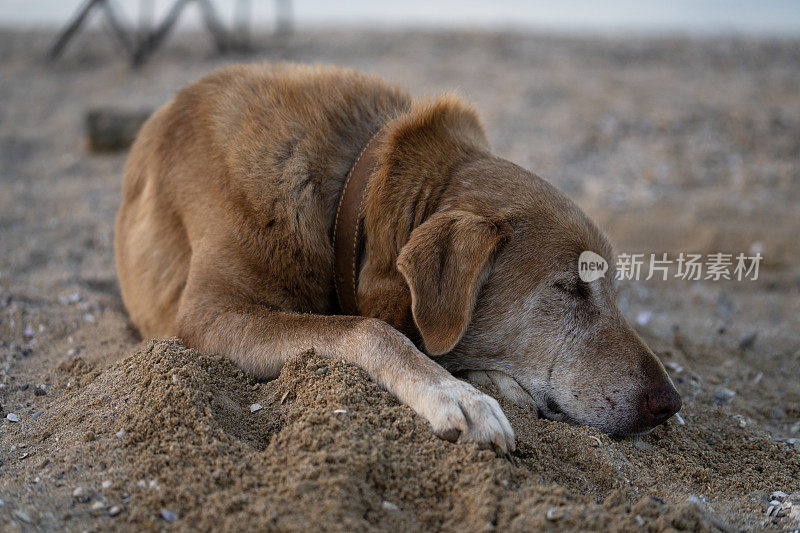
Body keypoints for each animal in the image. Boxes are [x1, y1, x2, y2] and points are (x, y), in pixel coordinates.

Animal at [117, 62, 680, 454]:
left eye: (613, 292)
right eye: (571, 288)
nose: (670, 403)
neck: (355, 197)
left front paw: (490, 383)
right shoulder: (208, 317)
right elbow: (369, 329)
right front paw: (455, 395)